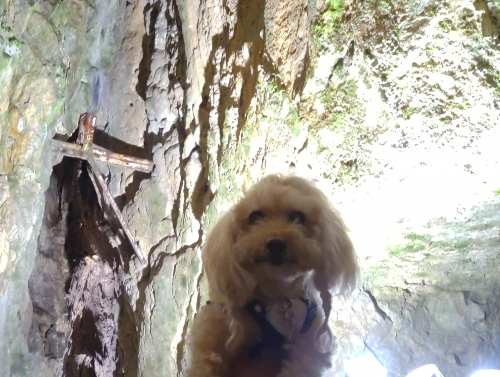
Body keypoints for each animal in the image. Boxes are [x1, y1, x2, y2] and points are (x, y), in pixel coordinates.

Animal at [186, 175, 358, 374]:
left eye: (298, 217)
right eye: (254, 216)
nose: (276, 243)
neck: (277, 294)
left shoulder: (306, 353)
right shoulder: (214, 335)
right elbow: (207, 362)